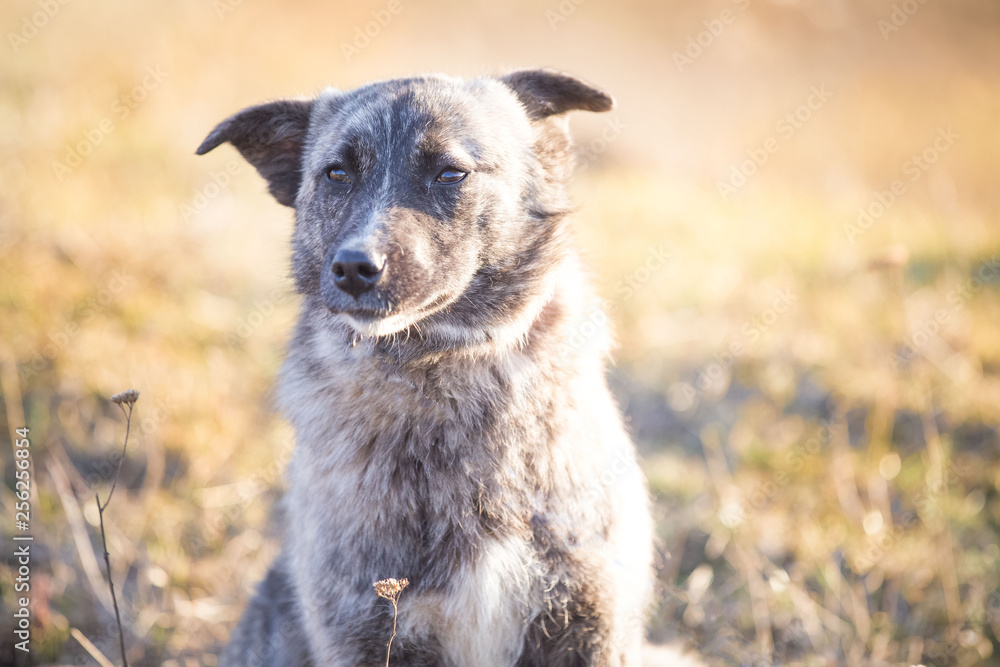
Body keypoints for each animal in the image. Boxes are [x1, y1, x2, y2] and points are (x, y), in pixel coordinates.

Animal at [200, 70, 656, 664]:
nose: (354, 268)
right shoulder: (366, 633)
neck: (442, 368)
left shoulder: (589, 623)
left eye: (451, 172)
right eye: (337, 173)